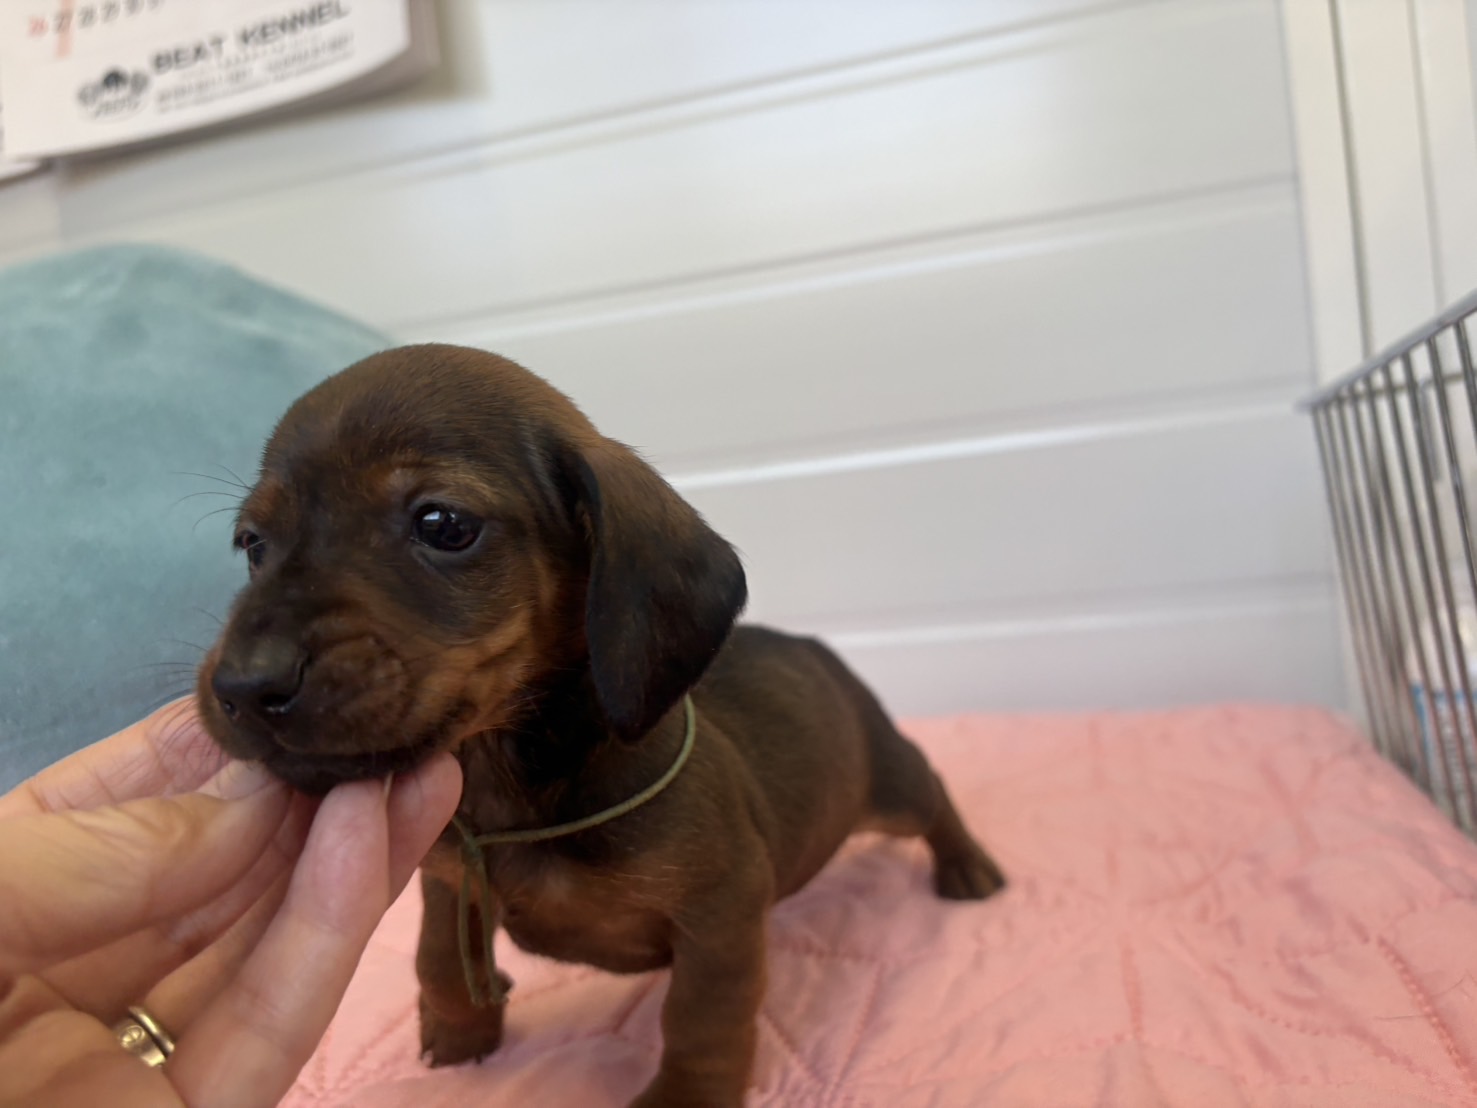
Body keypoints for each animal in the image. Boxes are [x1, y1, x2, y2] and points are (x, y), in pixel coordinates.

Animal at [197, 344, 1005, 1107]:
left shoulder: (721, 916)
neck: (514, 790)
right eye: (253, 543)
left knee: (934, 793)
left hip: (888, 790)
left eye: (442, 524)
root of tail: (814, 648)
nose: (243, 686)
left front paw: (688, 1097)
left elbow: (702, 1019)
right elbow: (436, 958)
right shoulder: (451, 879)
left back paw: (967, 865)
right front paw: (460, 1031)